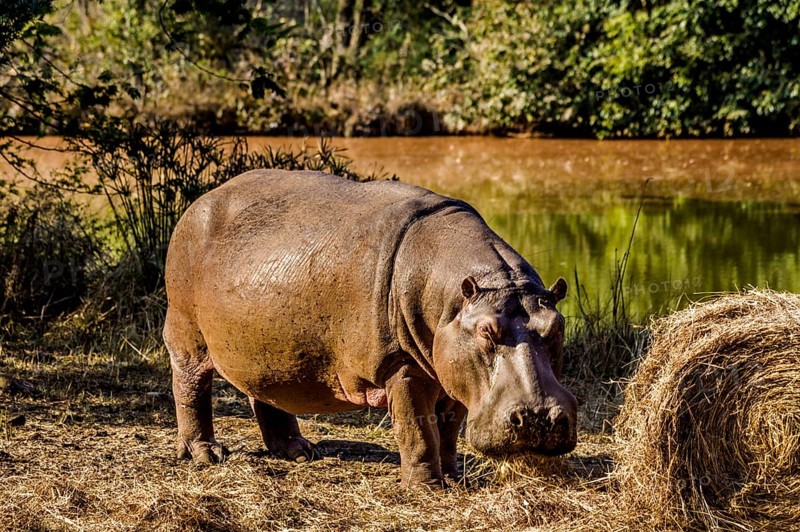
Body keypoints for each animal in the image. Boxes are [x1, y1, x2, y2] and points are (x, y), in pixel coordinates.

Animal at [164, 170, 577, 486]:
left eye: (556, 326)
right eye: (486, 331)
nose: (540, 417)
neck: (461, 298)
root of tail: (199, 203)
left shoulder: (454, 373)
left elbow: (447, 430)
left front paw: (454, 478)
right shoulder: (402, 366)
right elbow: (418, 428)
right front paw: (427, 487)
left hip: (264, 345)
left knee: (266, 392)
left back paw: (299, 452)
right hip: (187, 332)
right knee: (190, 386)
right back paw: (206, 454)